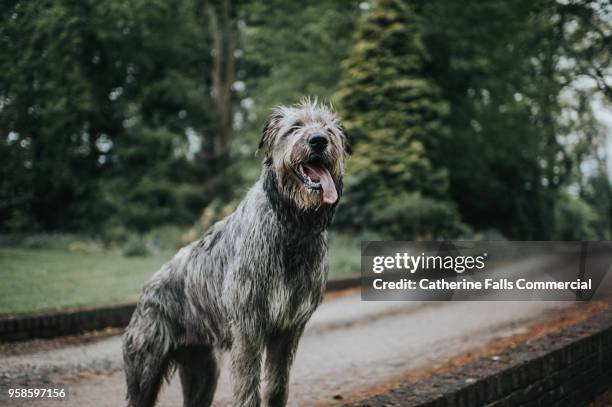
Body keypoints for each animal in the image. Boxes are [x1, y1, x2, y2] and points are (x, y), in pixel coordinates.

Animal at [122, 99, 350, 407]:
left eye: (329, 129)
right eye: (295, 127)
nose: (318, 140)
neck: (292, 227)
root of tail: (146, 288)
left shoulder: (289, 329)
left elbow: (277, 386)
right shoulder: (248, 326)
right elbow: (248, 387)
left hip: (203, 371)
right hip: (145, 366)